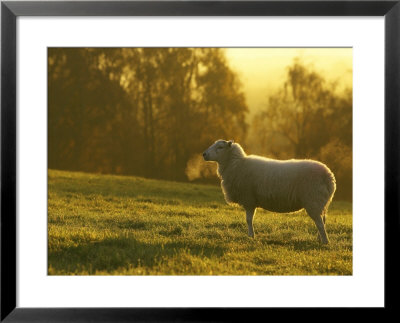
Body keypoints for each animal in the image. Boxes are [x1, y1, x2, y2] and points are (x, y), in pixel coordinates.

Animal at [202, 140, 336, 246]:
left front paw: (251, 236)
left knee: (320, 223)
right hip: (321, 202)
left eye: (220, 147)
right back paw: (319, 239)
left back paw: (325, 242)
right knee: (322, 221)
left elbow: (248, 220)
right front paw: (251, 235)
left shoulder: (249, 199)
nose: (204, 154)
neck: (236, 165)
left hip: (313, 200)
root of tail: (329, 176)